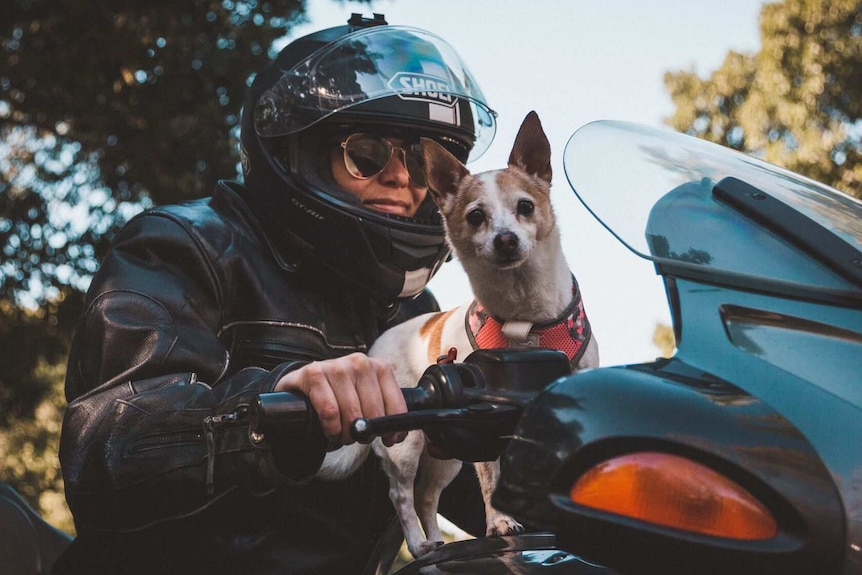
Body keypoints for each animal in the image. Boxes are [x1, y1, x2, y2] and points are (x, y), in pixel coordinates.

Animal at [318, 111, 600, 560]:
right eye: (475, 216)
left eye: (525, 207)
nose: (505, 239)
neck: (524, 315)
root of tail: (373, 351)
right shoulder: (483, 423)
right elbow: (491, 480)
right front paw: (499, 522)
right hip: (407, 445)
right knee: (402, 495)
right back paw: (420, 544)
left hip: (446, 454)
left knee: (427, 496)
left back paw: (435, 539)